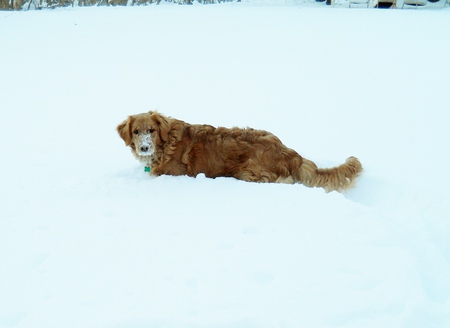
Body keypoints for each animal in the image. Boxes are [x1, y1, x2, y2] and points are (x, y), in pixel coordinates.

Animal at [117, 111, 362, 191]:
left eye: (151, 130)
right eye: (136, 131)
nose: (144, 147)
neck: (166, 144)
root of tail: (293, 154)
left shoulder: (174, 173)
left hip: (249, 172)